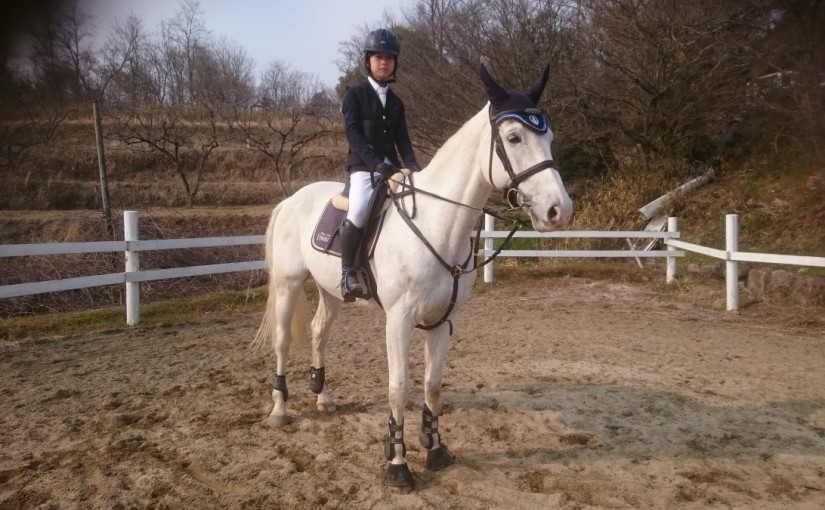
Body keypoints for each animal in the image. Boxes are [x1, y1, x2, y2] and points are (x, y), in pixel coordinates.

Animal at [253, 64, 573, 487]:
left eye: (549, 137)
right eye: (514, 137)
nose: (559, 210)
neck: (438, 224)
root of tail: (291, 199)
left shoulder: (444, 319)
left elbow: (433, 385)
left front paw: (435, 448)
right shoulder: (399, 320)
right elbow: (398, 388)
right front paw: (397, 462)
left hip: (331, 291)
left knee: (320, 331)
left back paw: (322, 397)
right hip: (288, 285)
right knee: (283, 342)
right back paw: (279, 409)